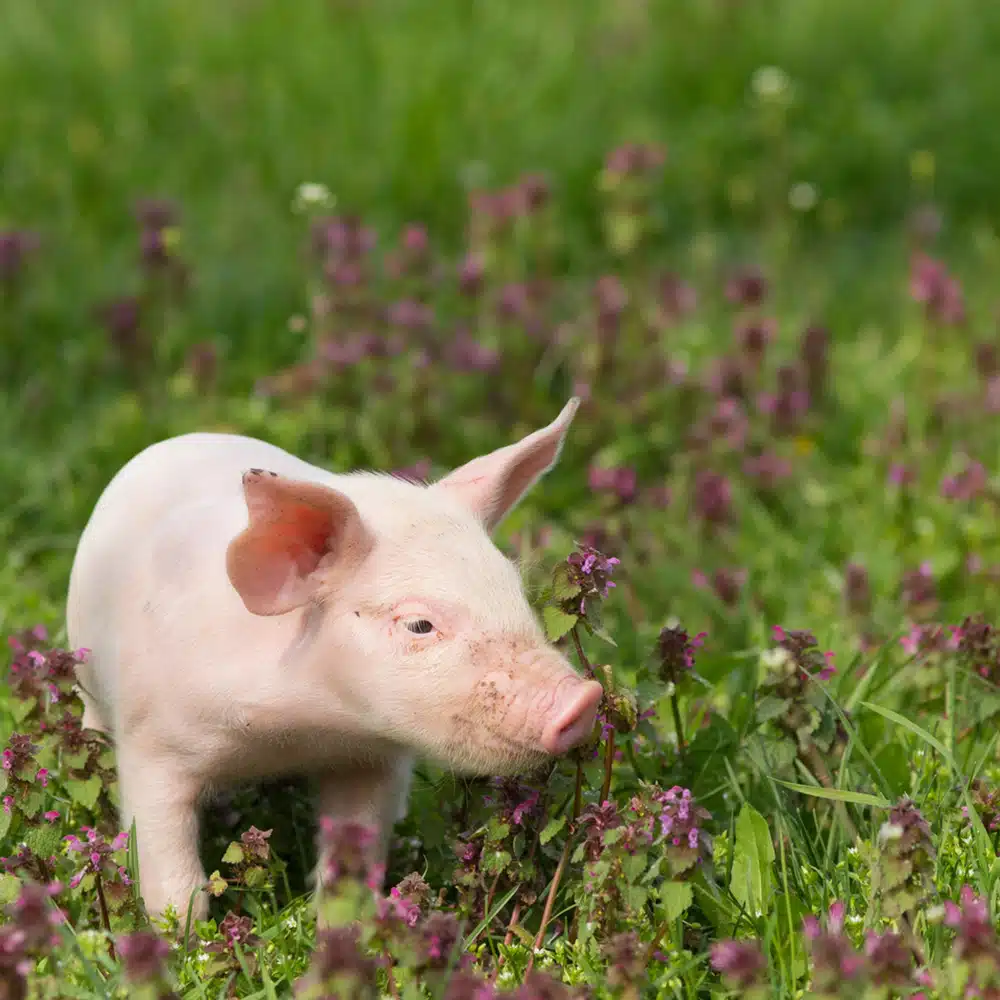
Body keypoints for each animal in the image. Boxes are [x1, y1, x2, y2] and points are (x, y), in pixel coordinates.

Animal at [65, 397, 602, 925]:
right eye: (419, 625)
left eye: (515, 591)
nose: (584, 698)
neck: (299, 732)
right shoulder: (152, 741)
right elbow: (171, 875)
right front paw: (182, 939)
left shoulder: (373, 760)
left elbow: (353, 860)